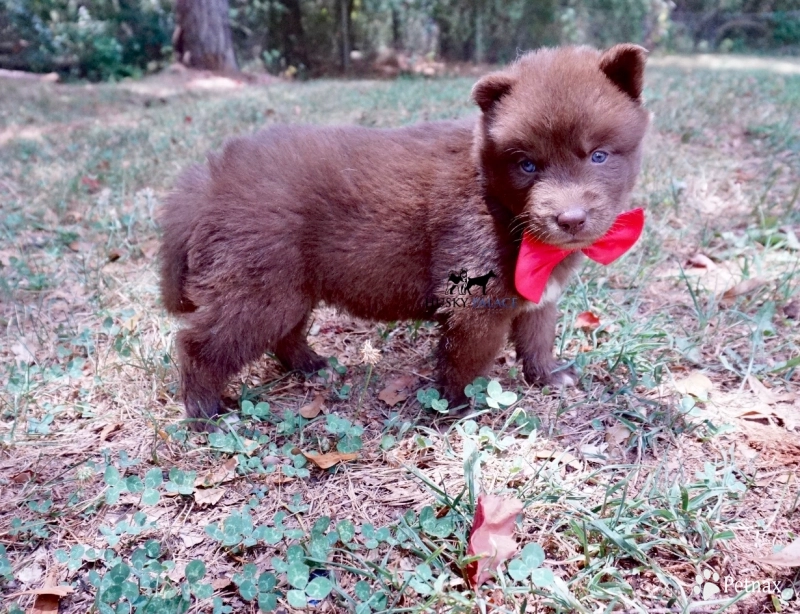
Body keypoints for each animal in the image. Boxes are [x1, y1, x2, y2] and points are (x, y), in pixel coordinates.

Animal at [161, 43, 648, 430]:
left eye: (599, 155)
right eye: (527, 164)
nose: (569, 219)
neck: (494, 196)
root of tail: (210, 181)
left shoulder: (539, 292)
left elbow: (537, 336)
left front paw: (548, 376)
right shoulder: (473, 302)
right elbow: (464, 358)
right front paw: (457, 407)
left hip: (287, 286)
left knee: (284, 335)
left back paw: (313, 366)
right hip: (258, 287)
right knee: (200, 344)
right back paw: (205, 409)